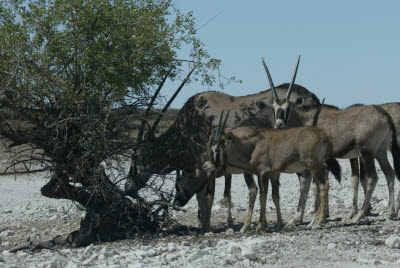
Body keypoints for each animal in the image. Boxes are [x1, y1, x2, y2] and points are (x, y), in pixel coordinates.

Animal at [203, 124, 340, 230]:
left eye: (217, 149)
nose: (206, 166)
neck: (253, 146)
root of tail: (323, 135)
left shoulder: (263, 173)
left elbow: (262, 197)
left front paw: (259, 226)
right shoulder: (271, 174)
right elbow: (272, 196)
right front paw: (274, 224)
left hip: (313, 166)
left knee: (323, 186)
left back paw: (317, 223)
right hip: (316, 167)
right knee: (320, 186)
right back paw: (312, 222)